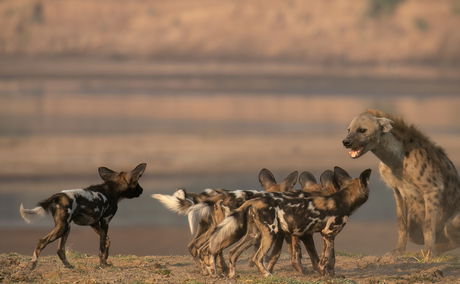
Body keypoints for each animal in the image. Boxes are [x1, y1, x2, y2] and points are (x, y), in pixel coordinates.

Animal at [18, 163, 146, 270]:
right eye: (137, 183)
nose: (142, 190)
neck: (113, 189)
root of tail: (59, 195)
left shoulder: (94, 223)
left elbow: (106, 241)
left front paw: (105, 261)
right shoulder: (105, 222)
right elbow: (102, 246)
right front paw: (103, 264)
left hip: (66, 228)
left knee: (60, 249)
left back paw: (68, 265)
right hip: (62, 228)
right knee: (42, 241)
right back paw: (33, 264)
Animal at [208, 168, 374, 276]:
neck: (342, 199)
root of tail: (255, 200)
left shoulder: (319, 235)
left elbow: (324, 258)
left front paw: (325, 273)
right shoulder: (327, 235)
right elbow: (326, 258)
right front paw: (326, 274)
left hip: (254, 235)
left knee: (232, 253)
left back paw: (232, 275)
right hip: (270, 234)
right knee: (256, 257)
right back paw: (267, 275)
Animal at [344, 108, 460, 258]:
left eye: (362, 130)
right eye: (348, 130)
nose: (346, 142)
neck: (395, 159)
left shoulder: (433, 188)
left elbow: (428, 225)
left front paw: (429, 253)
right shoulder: (397, 189)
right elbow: (402, 223)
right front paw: (397, 251)